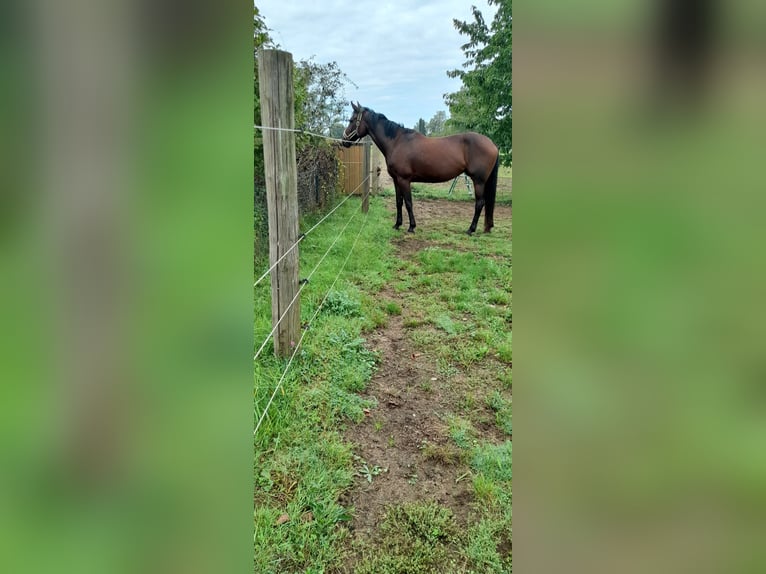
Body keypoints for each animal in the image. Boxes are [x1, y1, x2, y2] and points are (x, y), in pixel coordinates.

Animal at [341, 101, 499, 234]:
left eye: (351, 120)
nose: (344, 140)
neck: (397, 142)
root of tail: (492, 144)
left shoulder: (404, 180)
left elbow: (408, 203)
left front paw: (411, 227)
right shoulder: (396, 180)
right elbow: (399, 202)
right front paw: (397, 224)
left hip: (479, 181)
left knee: (479, 203)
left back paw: (471, 229)